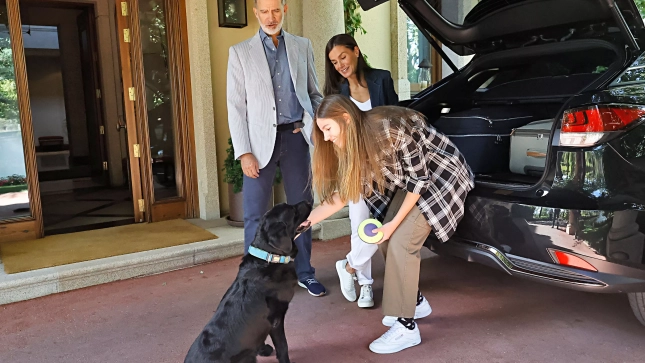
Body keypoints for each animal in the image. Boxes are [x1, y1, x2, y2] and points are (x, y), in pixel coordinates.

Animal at [184, 202, 312, 363]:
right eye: (293, 211)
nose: (308, 201)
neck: (269, 257)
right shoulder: (276, 321)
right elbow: (283, 346)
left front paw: (262, 349)